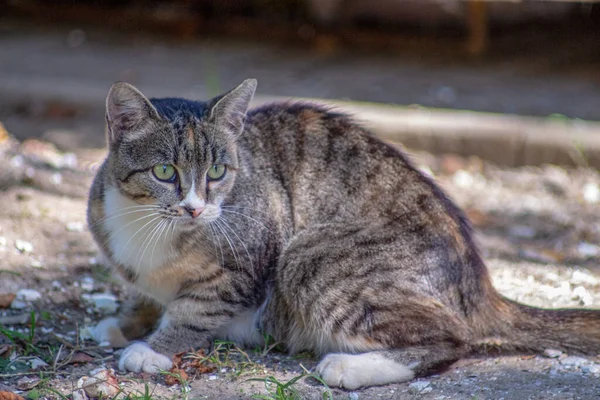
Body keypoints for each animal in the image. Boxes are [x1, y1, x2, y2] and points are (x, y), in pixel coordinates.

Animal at [88, 79, 600, 390]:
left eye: (217, 171)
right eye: (164, 171)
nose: (196, 206)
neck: (150, 224)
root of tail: (478, 281)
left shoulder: (247, 264)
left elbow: (195, 310)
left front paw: (153, 348)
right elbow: (146, 295)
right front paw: (125, 320)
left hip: (309, 254)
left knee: (454, 338)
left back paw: (348, 367)